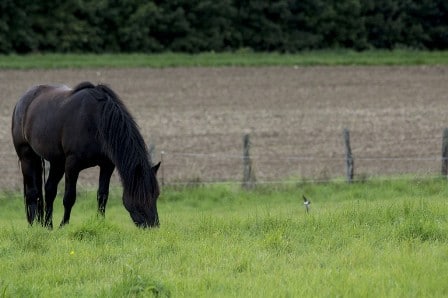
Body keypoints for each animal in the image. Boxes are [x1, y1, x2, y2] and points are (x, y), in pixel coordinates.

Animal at [11, 81, 161, 228]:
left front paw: (100, 222)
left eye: (156, 194)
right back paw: (33, 226)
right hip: (27, 156)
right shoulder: (72, 165)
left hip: (57, 162)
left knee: (49, 190)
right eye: (141, 196)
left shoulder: (107, 165)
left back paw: (48, 226)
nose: (154, 226)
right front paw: (64, 225)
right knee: (32, 193)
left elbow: (102, 195)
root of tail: (22, 100)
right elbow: (69, 197)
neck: (97, 121)